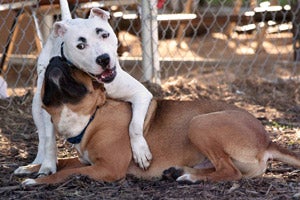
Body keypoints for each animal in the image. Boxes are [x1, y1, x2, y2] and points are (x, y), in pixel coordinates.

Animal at [14, 0, 152, 176]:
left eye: (104, 35)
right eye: (80, 45)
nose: (103, 59)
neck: (95, 80)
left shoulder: (141, 94)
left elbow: (134, 126)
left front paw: (140, 152)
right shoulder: (49, 109)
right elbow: (49, 141)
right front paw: (47, 167)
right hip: (36, 104)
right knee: (42, 139)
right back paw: (36, 162)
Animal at [18, 55, 300, 184]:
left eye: (74, 68)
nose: (55, 59)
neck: (92, 118)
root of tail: (267, 140)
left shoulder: (108, 168)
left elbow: (67, 172)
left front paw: (37, 180)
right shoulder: (86, 159)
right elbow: (64, 162)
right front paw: (33, 168)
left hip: (200, 123)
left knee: (230, 172)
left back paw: (189, 177)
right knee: (222, 169)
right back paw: (181, 172)